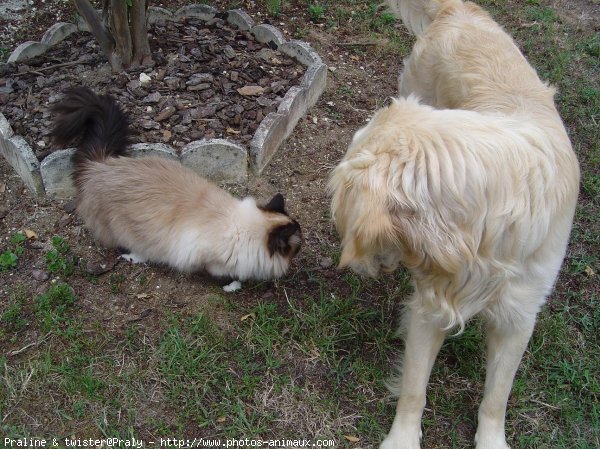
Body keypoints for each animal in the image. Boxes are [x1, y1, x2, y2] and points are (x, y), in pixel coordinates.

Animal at [51, 86, 302, 280]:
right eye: (297, 245)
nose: (303, 245)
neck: (242, 229)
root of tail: (101, 164)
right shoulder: (206, 258)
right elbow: (220, 273)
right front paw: (232, 284)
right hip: (123, 230)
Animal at [328, 0, 580, 448]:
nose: (360, 266)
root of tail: (460, 10)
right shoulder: (431, 306)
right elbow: (414, 389)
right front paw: (402, 439)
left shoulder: (519, 316)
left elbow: (496, 397)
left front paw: (492, 440)